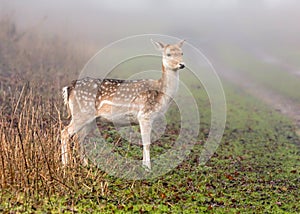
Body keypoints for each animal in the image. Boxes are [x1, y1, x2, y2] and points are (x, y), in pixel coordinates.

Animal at [61, 39, 185, 171]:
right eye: (168, 54)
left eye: (182, 53)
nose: (181, 64)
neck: (161, 94)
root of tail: (69, 87)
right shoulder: (145, 115)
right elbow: (146, 143)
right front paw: (148, 168)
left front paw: (144, 166)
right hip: (81, 113)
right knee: (65, 133)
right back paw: (65, 165)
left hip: (92, 120)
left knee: (78, 137)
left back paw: (86, 165)